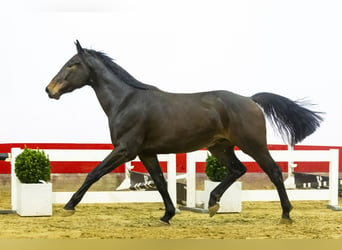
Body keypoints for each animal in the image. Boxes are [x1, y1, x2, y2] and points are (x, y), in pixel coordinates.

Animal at [45, 41, 324, 225]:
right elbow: (159, 181)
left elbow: (94, 173)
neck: (126, 101)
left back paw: (286, 214)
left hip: (252, 144)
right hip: (220, 146)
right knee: (238, 169)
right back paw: (212, 204)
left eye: (72, 65)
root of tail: (250, 99)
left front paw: (69, 206)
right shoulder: (146, 153)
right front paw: (167, 215)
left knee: (274, 172)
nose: (49, 90)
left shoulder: (125, 150)